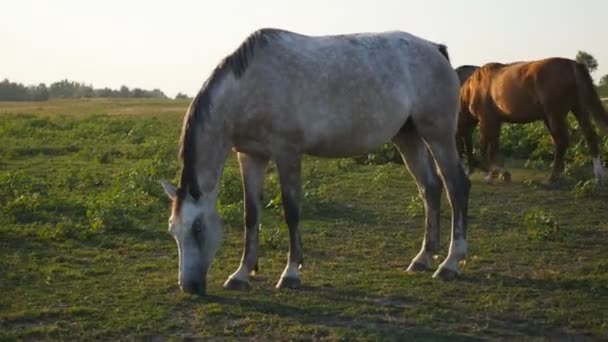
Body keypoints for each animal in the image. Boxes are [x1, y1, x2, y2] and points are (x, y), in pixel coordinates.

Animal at [158, 28, 470, 296]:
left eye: (198, 228)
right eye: (173, 230)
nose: (189, 286)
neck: (249, 86)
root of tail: (435, 49)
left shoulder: (287, 152)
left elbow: (292, 211)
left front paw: (291, 273)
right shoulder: (250, 156)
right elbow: (251, 215)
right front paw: (241, 273)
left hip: (438, 135)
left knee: (456, 186)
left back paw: (450, 264)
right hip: (408, 137)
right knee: (430, 188)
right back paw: (423, 258)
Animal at [460, 57, 608, 183]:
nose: (468, 170)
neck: (475, 87)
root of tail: (571, 64)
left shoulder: (486, 121)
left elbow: (484, 148)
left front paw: (495, 173)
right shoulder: (496, 122)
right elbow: (493, 149)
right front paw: (496, 174)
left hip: (554, 115)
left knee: (561, 142)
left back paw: (552, 178)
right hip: (577, 109)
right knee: (589, 136)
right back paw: (598, 176)